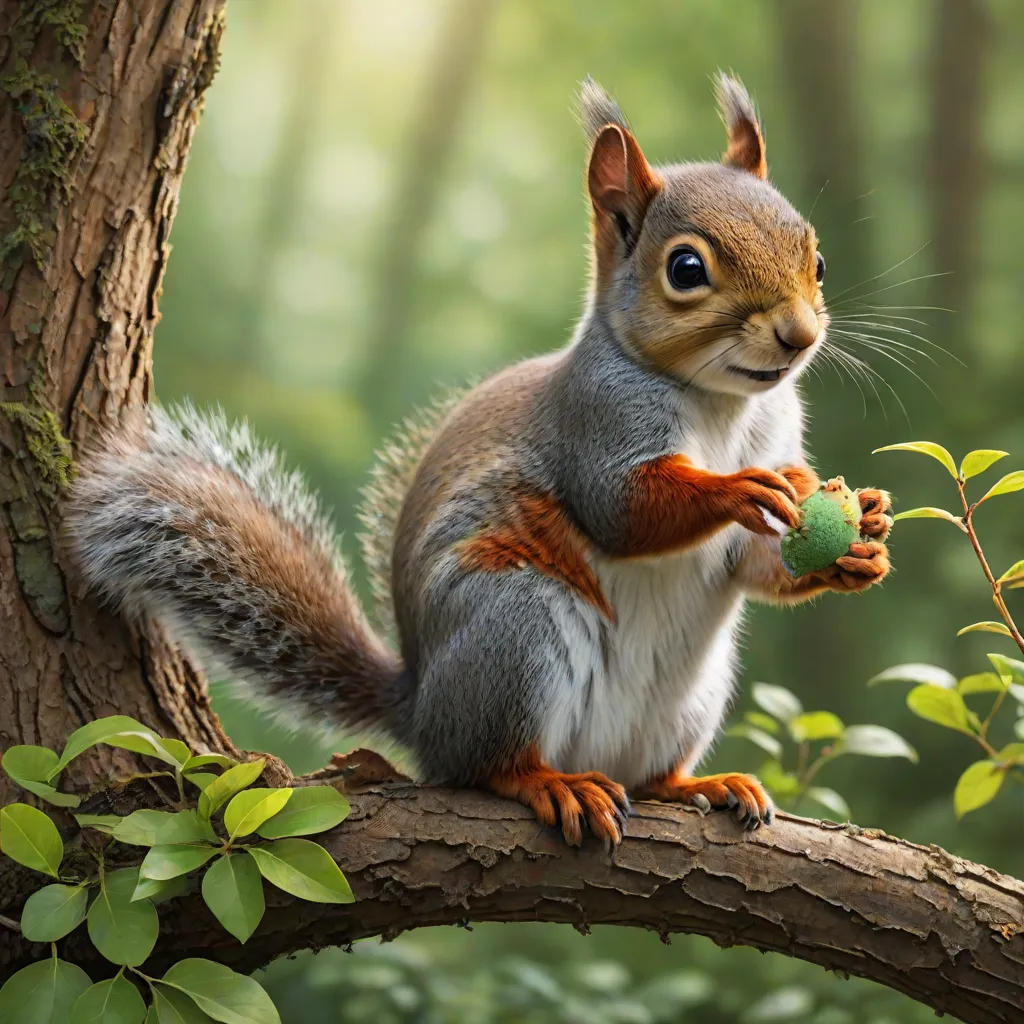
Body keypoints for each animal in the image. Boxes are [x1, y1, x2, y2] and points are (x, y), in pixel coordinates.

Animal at [67, 74, 893, 846]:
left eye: (817, 258)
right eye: (686, 269)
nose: (798, 335)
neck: (723, 404)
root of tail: (422, 710)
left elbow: (755, 565)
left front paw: (863, 540)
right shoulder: (592, 423)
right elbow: (624, 512)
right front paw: (739, 488)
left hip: (692, 695)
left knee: (650, 776)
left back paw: (699, 784)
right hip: (515, 630)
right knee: (488, 765)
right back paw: (551, 783)